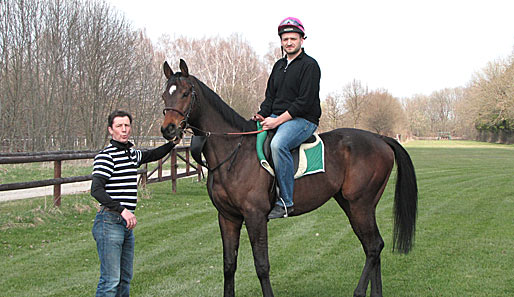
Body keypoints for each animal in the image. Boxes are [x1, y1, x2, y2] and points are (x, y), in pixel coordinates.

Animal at [160, 59, 416, 296]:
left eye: (185, 93)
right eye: (164, 95)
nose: (168, 129)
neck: (234, 152)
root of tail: (380, 139)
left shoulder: (255, 216)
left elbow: (261, 266)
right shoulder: (227, 217)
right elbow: (229, 265)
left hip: (359, 204)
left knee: (373, 247)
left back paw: (359, 291)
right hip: (354, 205)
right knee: (373, 246)